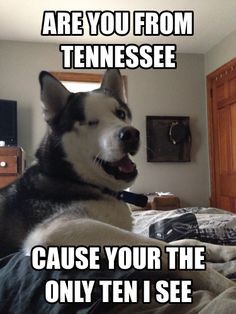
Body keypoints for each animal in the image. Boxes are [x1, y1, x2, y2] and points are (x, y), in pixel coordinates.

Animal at [0, 69, 234, 294]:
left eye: (120, 113)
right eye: (90, 122)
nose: (131, 134)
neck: (79, 180)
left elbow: (183, 241)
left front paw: (227, 251)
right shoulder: (55, 232)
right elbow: (158, 246)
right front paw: (221, 284)